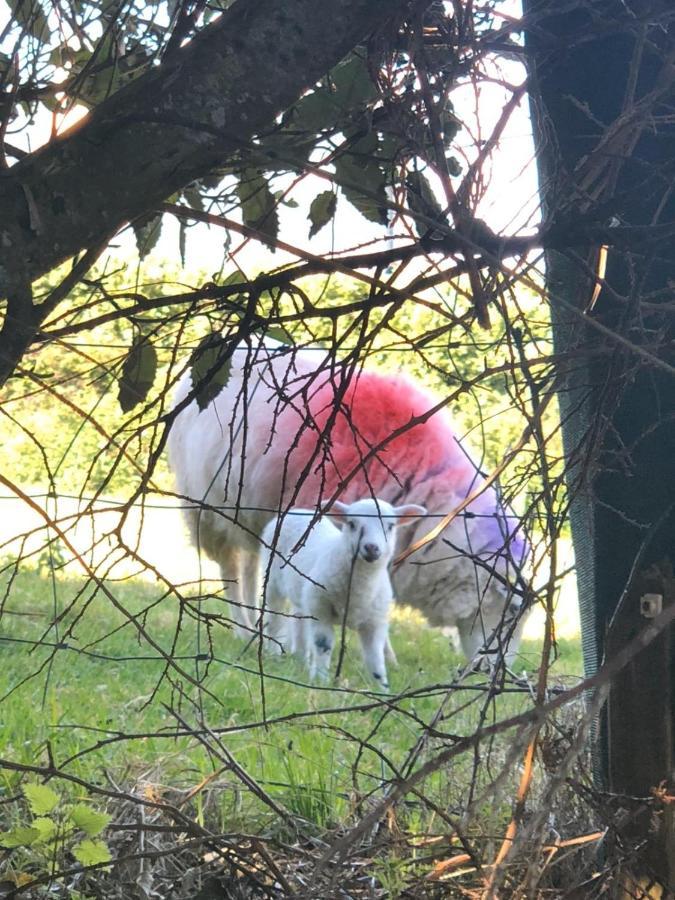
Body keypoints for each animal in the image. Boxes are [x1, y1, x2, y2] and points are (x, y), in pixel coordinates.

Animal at [168, 338, 528, 660]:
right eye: (511, 612)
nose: (495, 670)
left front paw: (385, 655)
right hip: (205, 508)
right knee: (230, 569)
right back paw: (244, 628)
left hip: (246, 512)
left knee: (251, 567)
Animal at [260, 496, 426, 684]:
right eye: (351, 523)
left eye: (391, 526)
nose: (371, 548)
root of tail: (299, 511)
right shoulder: (321, 609)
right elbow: (323, 646)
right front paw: (321, 681)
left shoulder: (375, 621)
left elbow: (375, 658)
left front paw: (381, 686)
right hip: (273, 582)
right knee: (275, 621)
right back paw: (274, 655)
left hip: (302, 595)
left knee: (299, 621)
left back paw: (301, 661)